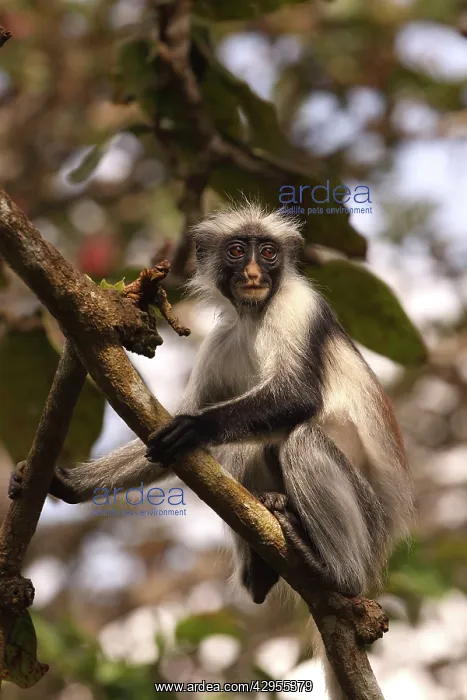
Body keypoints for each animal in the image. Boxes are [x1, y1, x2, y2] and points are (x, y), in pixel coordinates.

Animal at [45, 203, 413, 699]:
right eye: (238, 251)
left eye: (269, 252)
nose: (255, 272)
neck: (255, 315)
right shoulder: (222, 340)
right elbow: (158, 433)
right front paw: (70, 483)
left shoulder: (299, 307)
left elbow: (297, 398)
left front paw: (196, 427)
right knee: (246, 451)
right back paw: (260, 572)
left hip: (369, 523)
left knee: (300, 439)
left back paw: (335, 572)